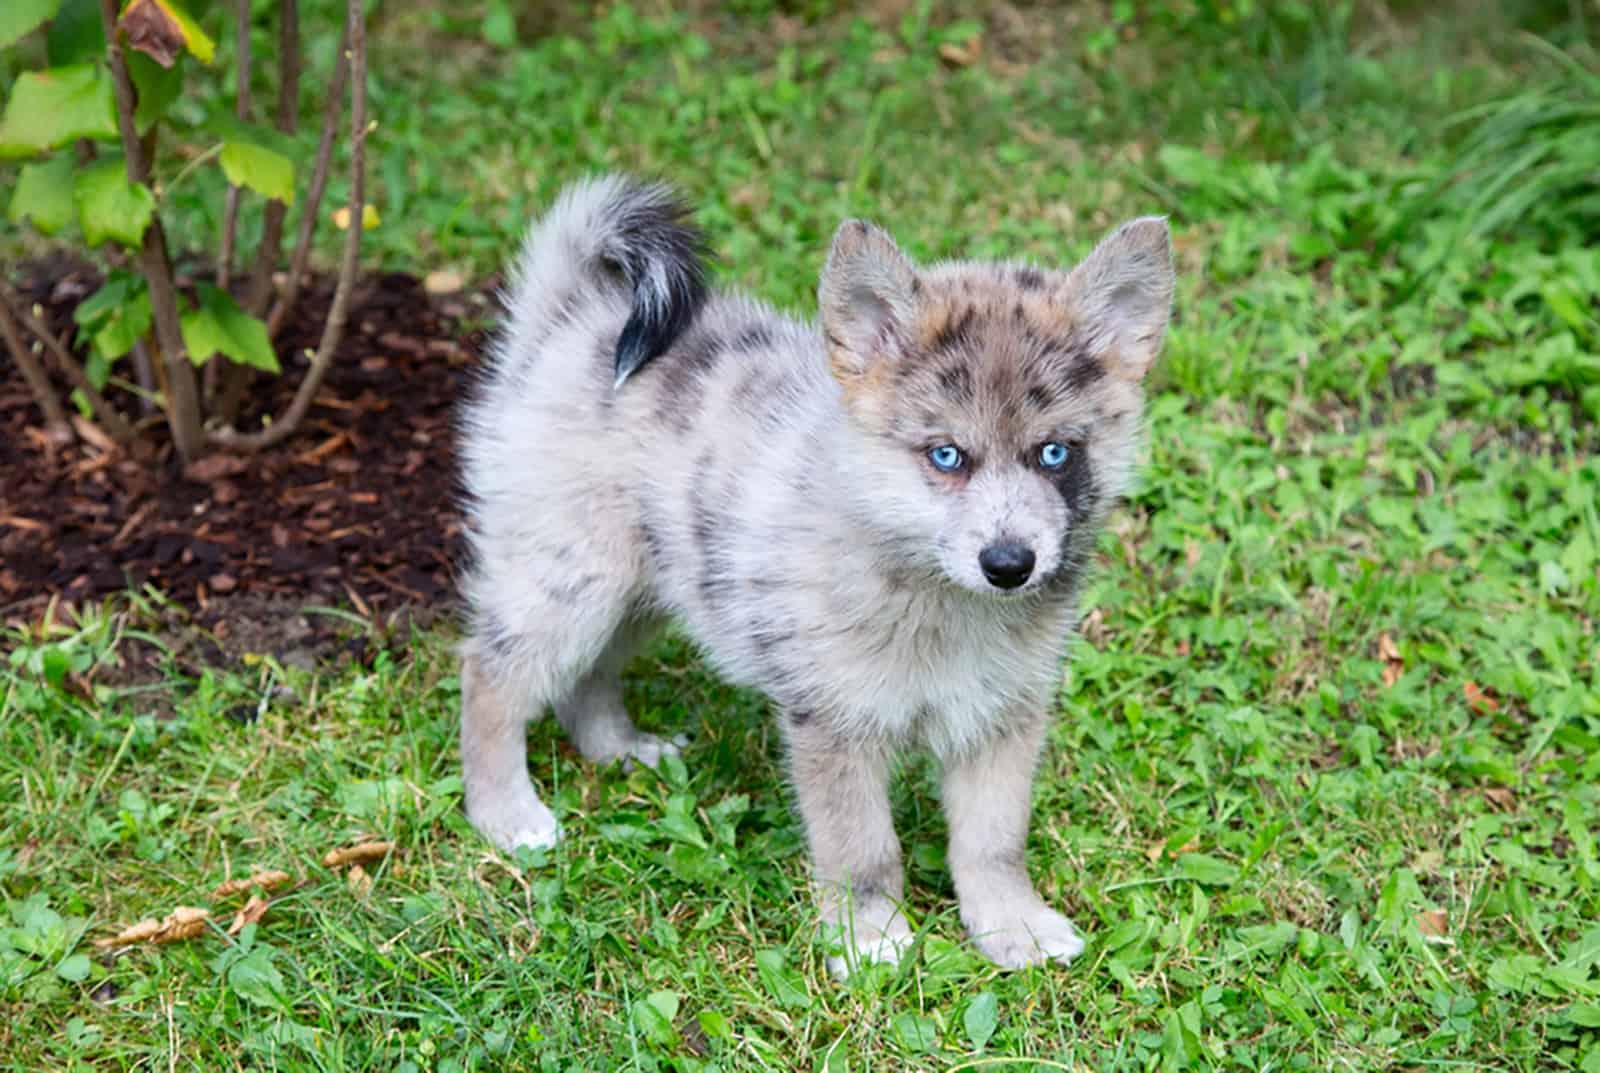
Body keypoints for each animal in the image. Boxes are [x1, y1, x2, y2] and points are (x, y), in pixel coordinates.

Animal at [457, 174, 1171, 972]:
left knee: (588, 676)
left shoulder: (1001, 718)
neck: (937, 599)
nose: (1010, 565)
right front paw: (870, 939)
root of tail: (572, 316)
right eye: (946, 455)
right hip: (572, 582)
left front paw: (1012, 926)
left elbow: (993, 843)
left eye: (1055, 453)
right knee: (491, 675)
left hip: (646, 592)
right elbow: (861, 848)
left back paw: (622, 750)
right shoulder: (835, 721)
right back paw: (506, 814)